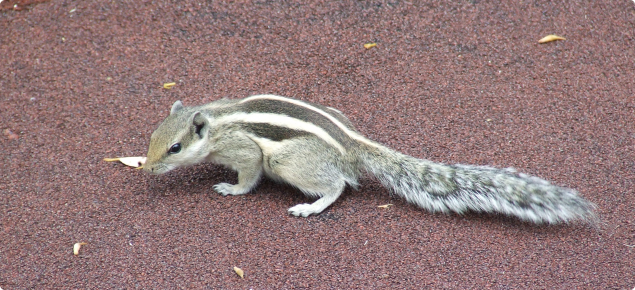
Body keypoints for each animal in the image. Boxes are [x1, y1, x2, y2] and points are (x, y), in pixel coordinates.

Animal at [143, 95, 596, 224]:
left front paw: (231, 188)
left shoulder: (247, 152)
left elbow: (248, 176)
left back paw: (310, 207)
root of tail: (353, 145)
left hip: (292, 163)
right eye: (151, 138)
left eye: (174, 148)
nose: (146, 167)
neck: (217, 121)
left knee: (338, 186)